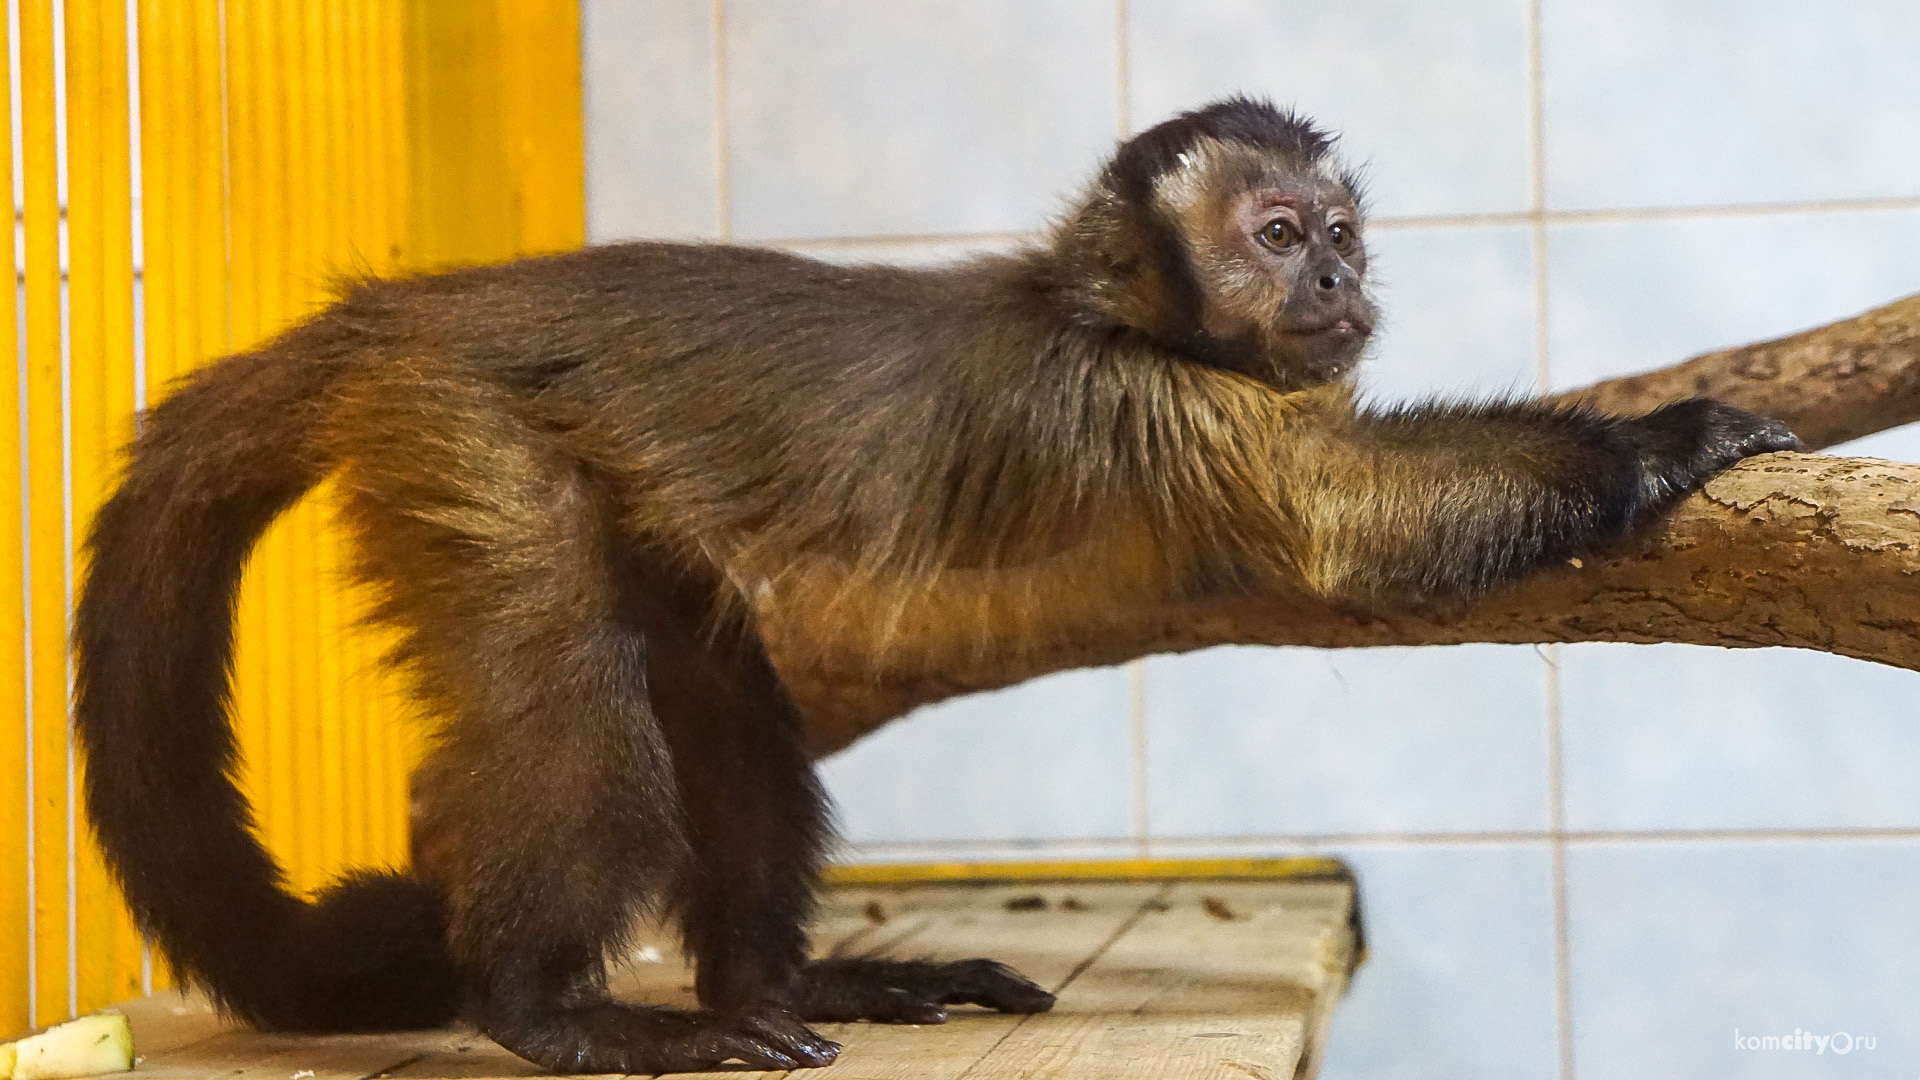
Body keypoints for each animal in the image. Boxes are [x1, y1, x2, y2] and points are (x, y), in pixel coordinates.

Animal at [67, 94, 1789, 1068]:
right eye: (1278, 231)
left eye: (1343, 233)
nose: (1337, 279)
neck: (1109, 314)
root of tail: (400, 312)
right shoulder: (1150, 404)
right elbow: (1339, 526)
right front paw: (1671, 433)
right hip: (466, 433)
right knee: (571, 696)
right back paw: (551, 1010)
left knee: (715, 685)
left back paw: (782, 979)